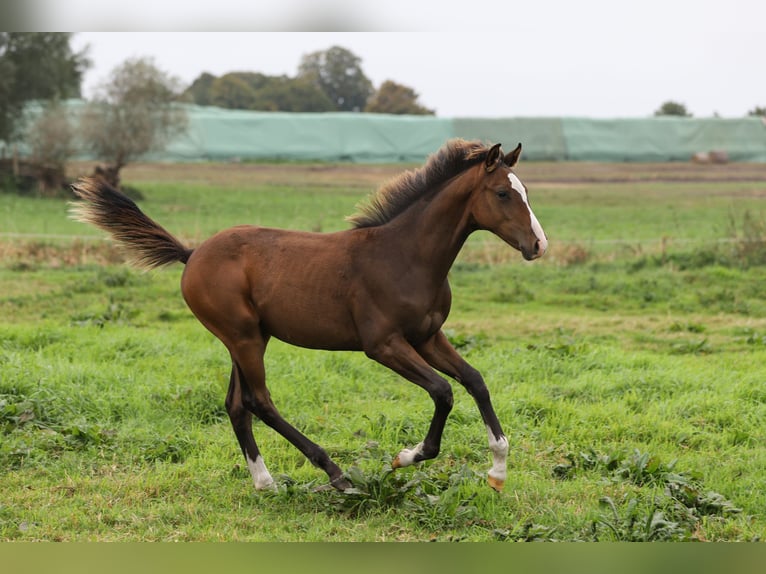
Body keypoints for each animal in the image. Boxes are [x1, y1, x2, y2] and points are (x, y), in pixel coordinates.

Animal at [72, 140, 548, 496]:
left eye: (526, 191)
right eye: (503, 194)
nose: (539, 245)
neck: (407, 256)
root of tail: (192, 254)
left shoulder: (429, 336)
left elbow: (475, 381)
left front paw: (498, 470)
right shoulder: (383, 345)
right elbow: (443, 391)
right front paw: (406, 457)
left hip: (249, 337)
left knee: (236, 404)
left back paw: (265, 483)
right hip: (243, 337)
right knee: (259, 402)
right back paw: (335, 474)